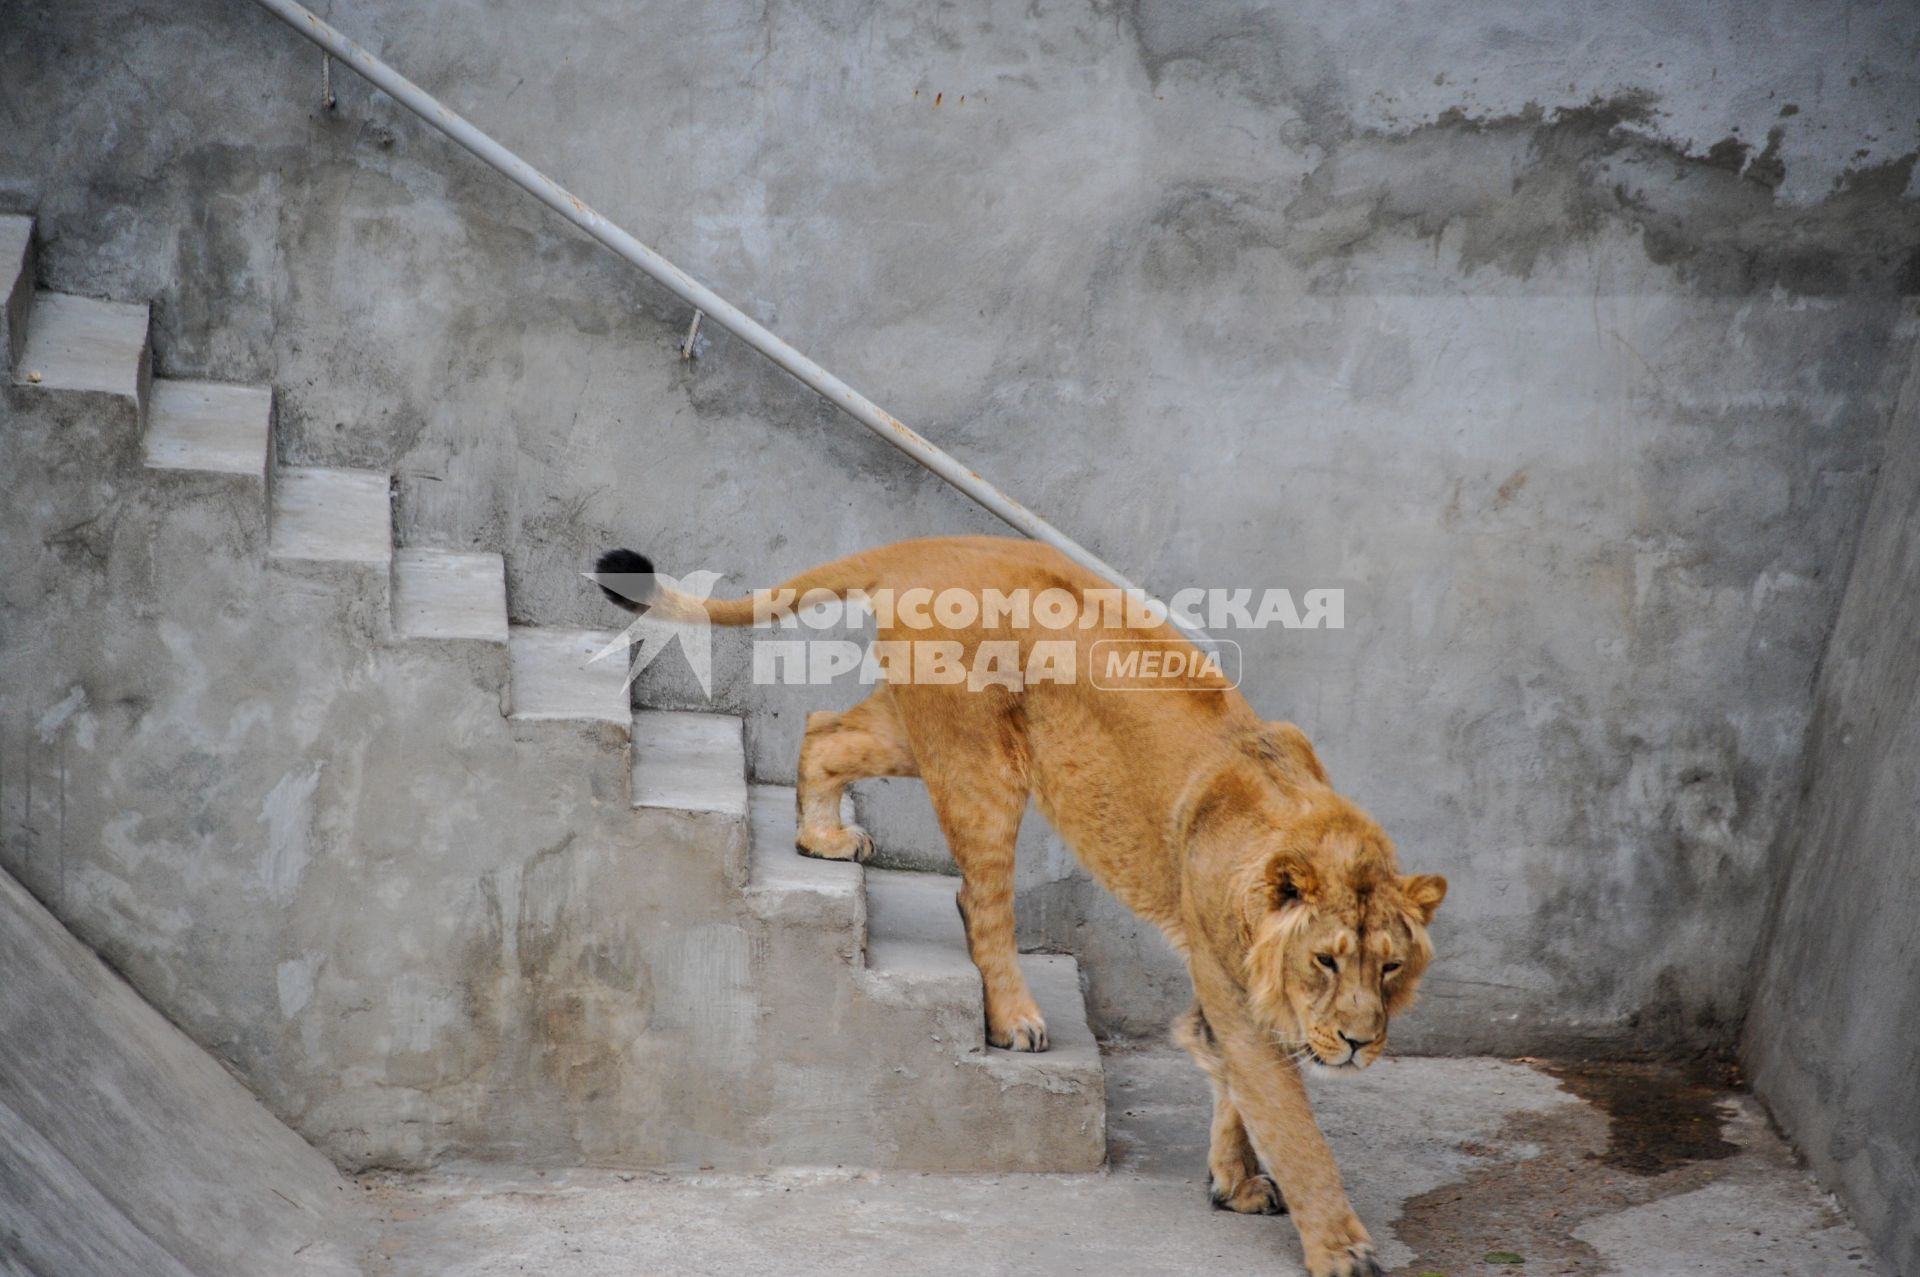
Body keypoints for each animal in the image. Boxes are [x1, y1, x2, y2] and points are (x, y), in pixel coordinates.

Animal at [591, 533, 1443, 1267]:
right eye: (1327, 960)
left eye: (1391, 966)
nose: (1362, 1042)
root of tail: (932, 545)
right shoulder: (1232, 982)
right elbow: (1292, 1124)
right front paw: (1342, 1248)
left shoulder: (1237, 989)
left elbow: (1232, 1081)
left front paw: (1233, 1182)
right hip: (979, 765)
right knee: (979, 903)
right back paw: (1015, 1019)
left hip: (918, 727)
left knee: (826, 728)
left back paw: (821, 836)